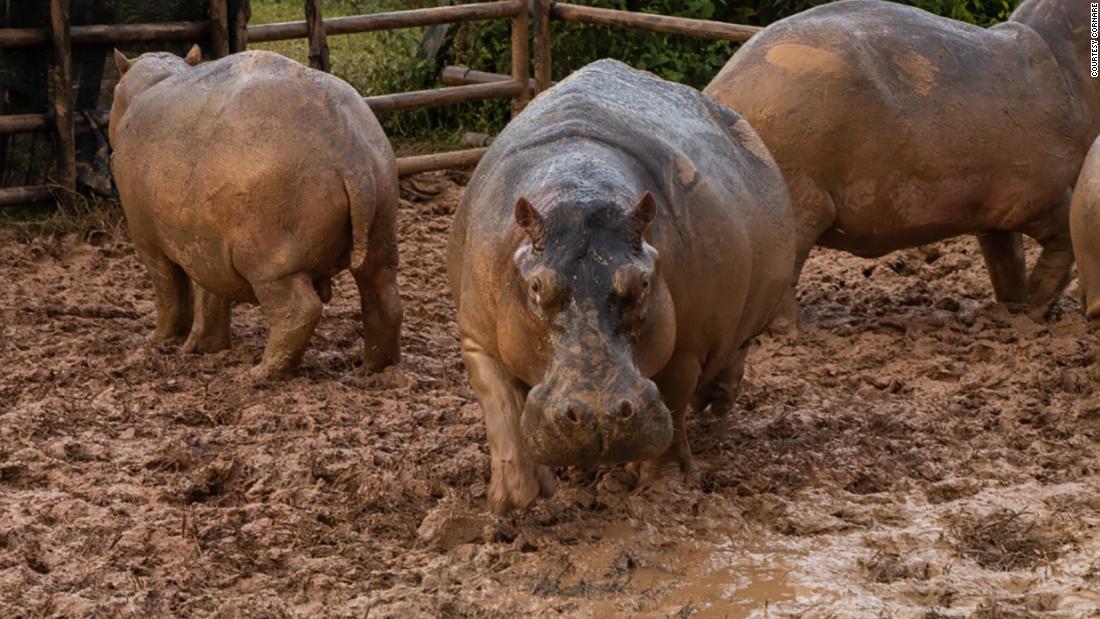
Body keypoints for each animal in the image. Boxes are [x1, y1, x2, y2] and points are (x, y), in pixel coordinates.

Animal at [110, 46, 402, 379]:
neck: (151, 81)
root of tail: (350, 154)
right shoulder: (205, 245)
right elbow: (209, 297)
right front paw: (203, 347)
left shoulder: (148, 241)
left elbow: (170, 291)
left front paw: (158, 341)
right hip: (381, 231)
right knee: (385, 299)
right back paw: (371, 369)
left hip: (270, 263)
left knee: (299, 311)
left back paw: (258, 373)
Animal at [448, 59, 795, 514]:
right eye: (537, 286)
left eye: (643, 281)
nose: (599, 416)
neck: (578, 189)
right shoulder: (478, 338)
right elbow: (502, 409)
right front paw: (517, 500)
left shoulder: (686, 346)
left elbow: (673, 404)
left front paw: (664, 487)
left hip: (744, 318)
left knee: (733, 353)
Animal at [706, 0, 1100, 326]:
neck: (1065, 64)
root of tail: (718, 91)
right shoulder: (1042, 194)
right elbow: (1065, 239)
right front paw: (1035, 310)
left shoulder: (996, 211)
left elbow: (1006, 260)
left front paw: (1013, 311)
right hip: (800, 201)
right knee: (785, 271)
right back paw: (799, 329)